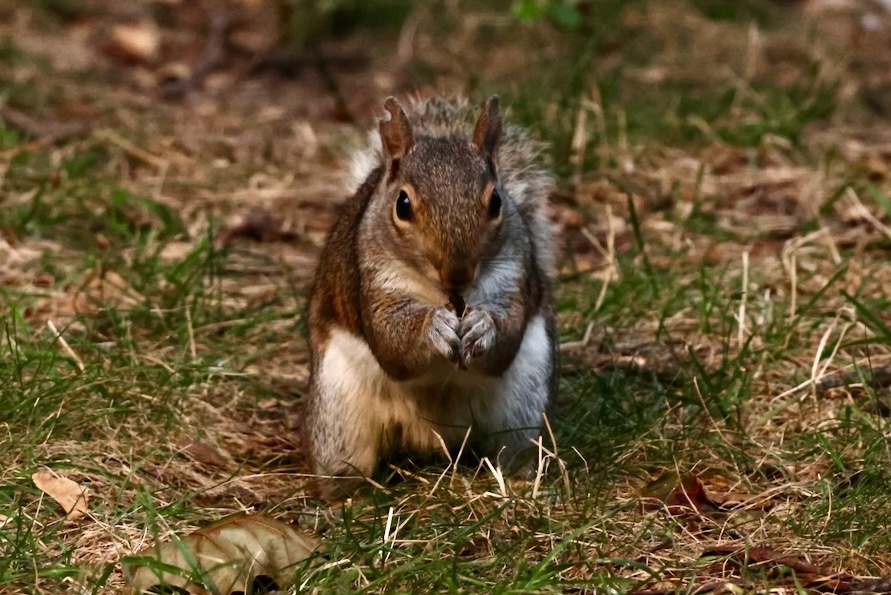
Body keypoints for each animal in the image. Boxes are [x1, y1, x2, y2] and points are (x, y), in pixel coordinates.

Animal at [305, 95, 557, 498]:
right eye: (402, 205)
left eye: (497, 202)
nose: (458, 273)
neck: (445, 295)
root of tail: (433, 435)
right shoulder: (371, 279)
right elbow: (391, 344)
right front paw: (433, 328)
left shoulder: (514, 275)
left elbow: (506, 339)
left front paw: (483, 326)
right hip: (337, 418)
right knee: (345, 465)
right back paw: (344, 499)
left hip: (522, 407)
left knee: (512, 450)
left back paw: (519, 483)